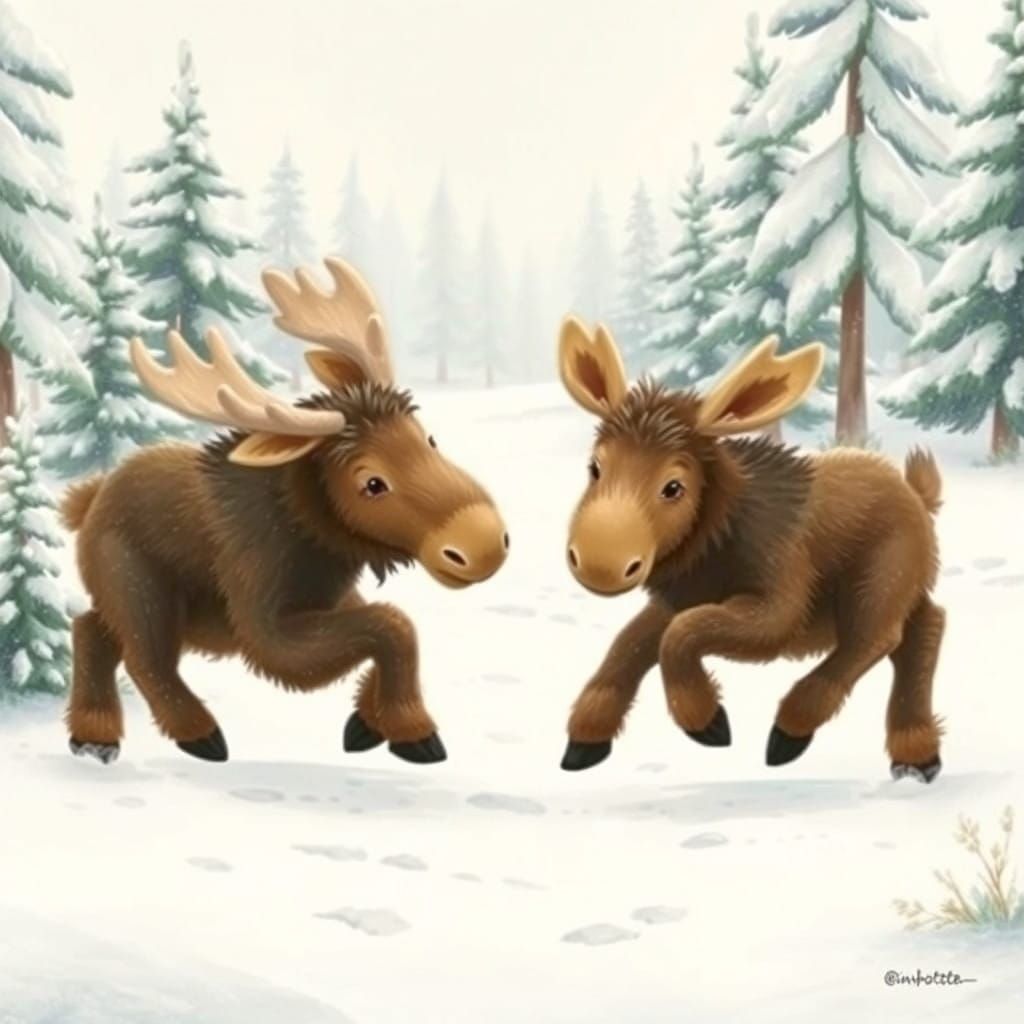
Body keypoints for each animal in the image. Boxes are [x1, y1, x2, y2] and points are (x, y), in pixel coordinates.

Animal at [62, 258, 508, 767]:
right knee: (143, 657)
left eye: (428, 438)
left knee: (92, 630)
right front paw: (412, 728)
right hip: (138, 586)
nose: (484, 542)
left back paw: (93, 734)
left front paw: (367, 721)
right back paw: (196, 732)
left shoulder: (332, 597)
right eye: (372, 482)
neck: (315, 543)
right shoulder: (263, 630)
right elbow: (394, 624)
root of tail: (88, 499)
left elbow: (384, 623)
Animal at [557, 318, 945, 782]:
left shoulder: (782, 607)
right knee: (925, 628)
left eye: (673, 486)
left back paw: (792, 729)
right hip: (903, 589)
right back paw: (917, 753)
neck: (714, 540)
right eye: (595, 467)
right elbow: (630, 643)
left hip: (881, 581)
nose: (600, 564)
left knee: (878, 638)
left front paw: (706, 719)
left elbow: (681, 635)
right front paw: (585, 737)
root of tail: (921, 497)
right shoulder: (679, 597)